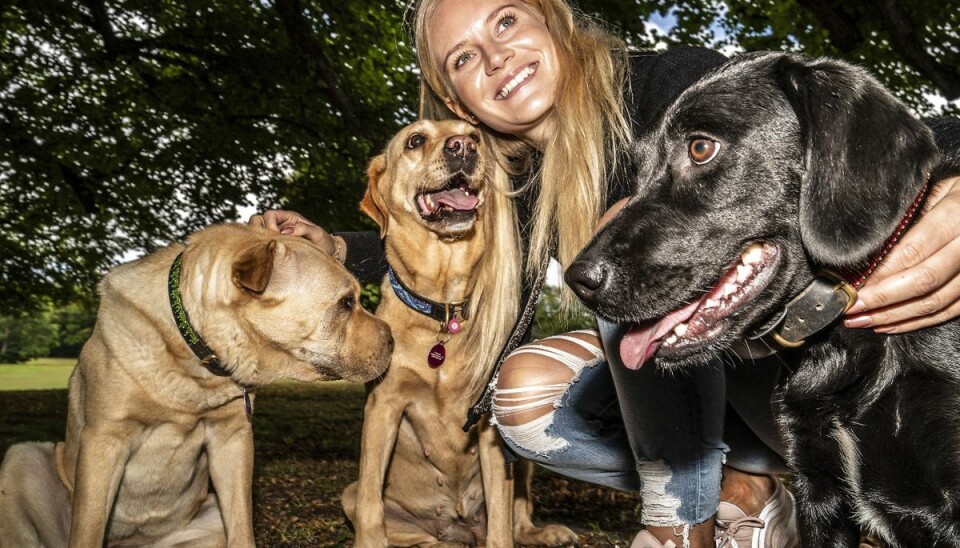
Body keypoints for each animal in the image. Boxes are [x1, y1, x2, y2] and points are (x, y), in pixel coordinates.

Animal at [0, 224, 394, 548]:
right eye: (345, 303)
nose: (392, 339)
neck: (194, 362)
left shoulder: (232, 439)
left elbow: (242, 529)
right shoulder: (104, 440)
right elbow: (87, 531)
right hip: (22, 459)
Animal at [340, 121, 572, 548]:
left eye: (475, 135)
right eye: (415, 140)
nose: (463, 146)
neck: (443, 307)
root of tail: (459, 525)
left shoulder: (486, 418)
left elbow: (501, 519)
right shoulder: (383, 407)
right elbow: (370, 505)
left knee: (517, 512)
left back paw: (544, 532)